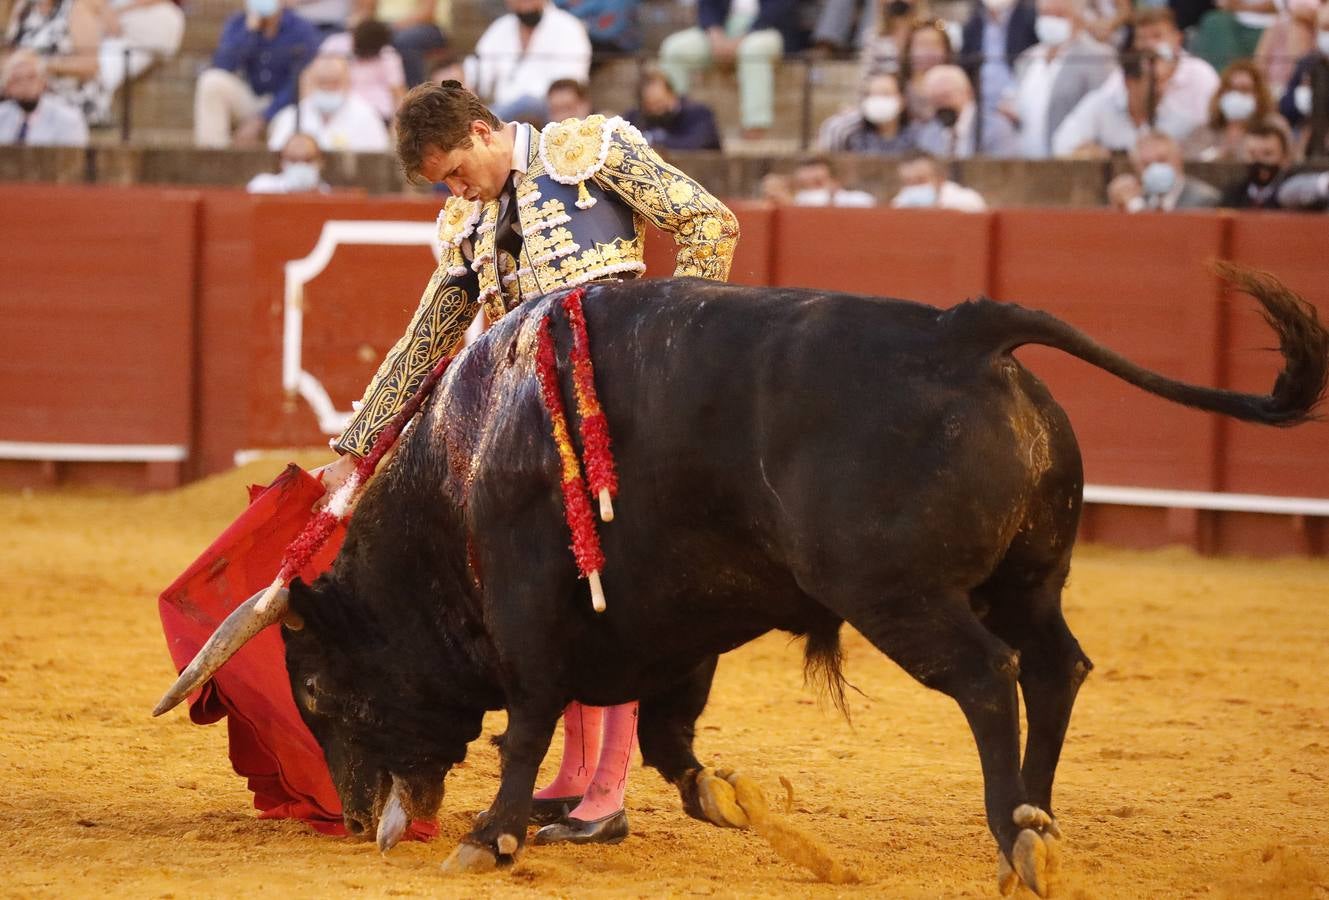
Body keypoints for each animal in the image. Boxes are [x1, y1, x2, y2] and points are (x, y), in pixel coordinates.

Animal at [158, 264, 1329, 893]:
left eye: (316, 689)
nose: (363, 820)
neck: (463, 458)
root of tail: (964, 332)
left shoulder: (532, 610)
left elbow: (531, 719)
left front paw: (495, 835)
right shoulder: (677, 625)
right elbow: (666, 734)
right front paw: (726, 800)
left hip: (898, 595)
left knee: (989, 681)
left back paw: (1012, 844)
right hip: (1027, 578)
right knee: (1054, 667)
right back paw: (1036, 823)